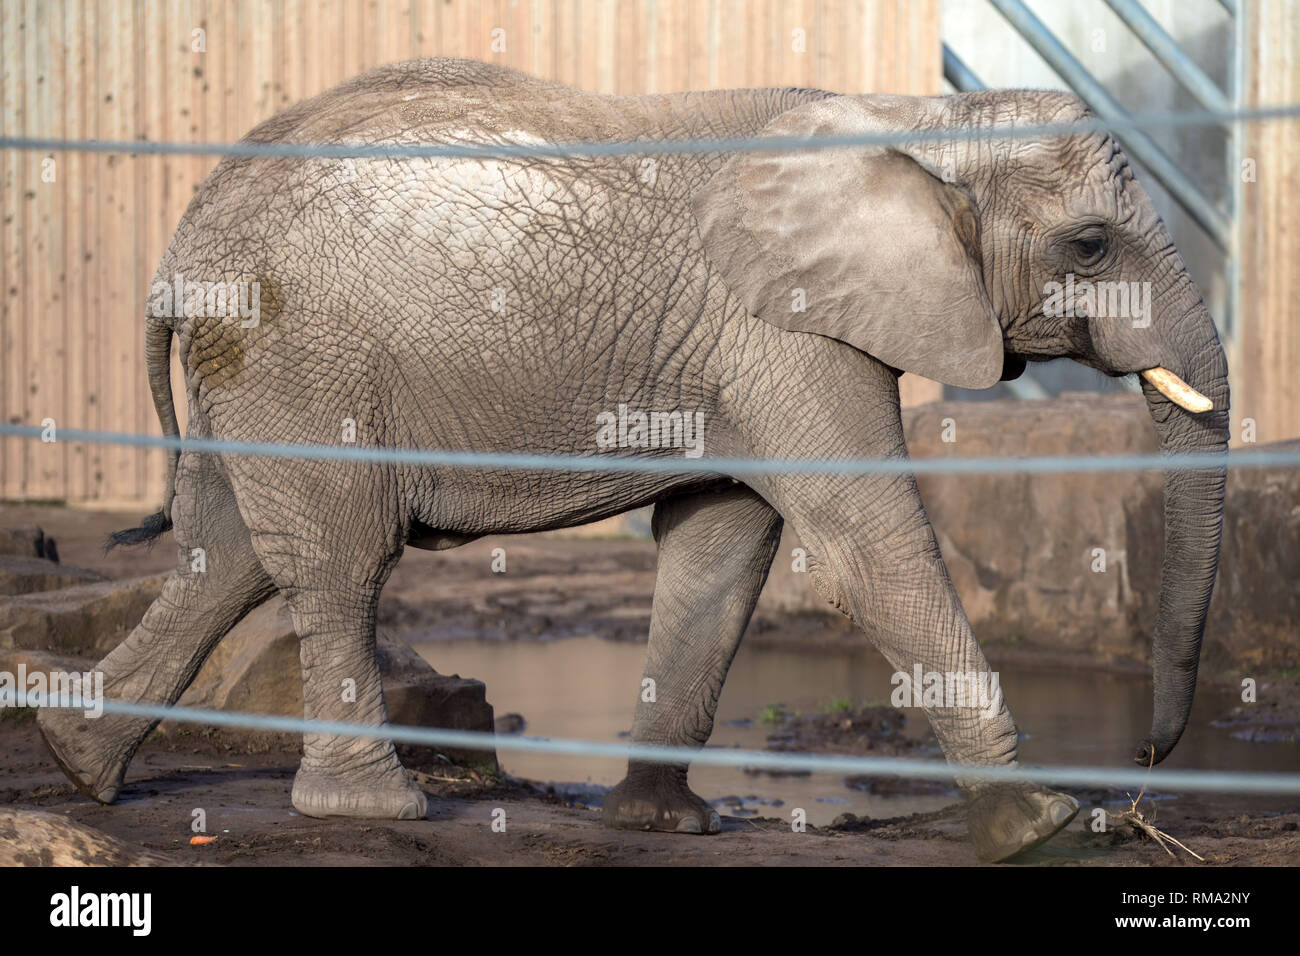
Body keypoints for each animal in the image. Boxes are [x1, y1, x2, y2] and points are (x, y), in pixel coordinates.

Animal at [35, 59, 1222, 868]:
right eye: (1089, 247)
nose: (1145, 766)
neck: (915, 122)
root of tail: (185, 236)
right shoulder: (782, 330)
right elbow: (866, 534)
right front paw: (1044, 828)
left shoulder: (742, 353)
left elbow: (724, 546)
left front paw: (663, 824)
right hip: (299, 356)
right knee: (337, 560)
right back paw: (373, 811)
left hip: (256, 366)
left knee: (225, 555)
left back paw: (75, 759)